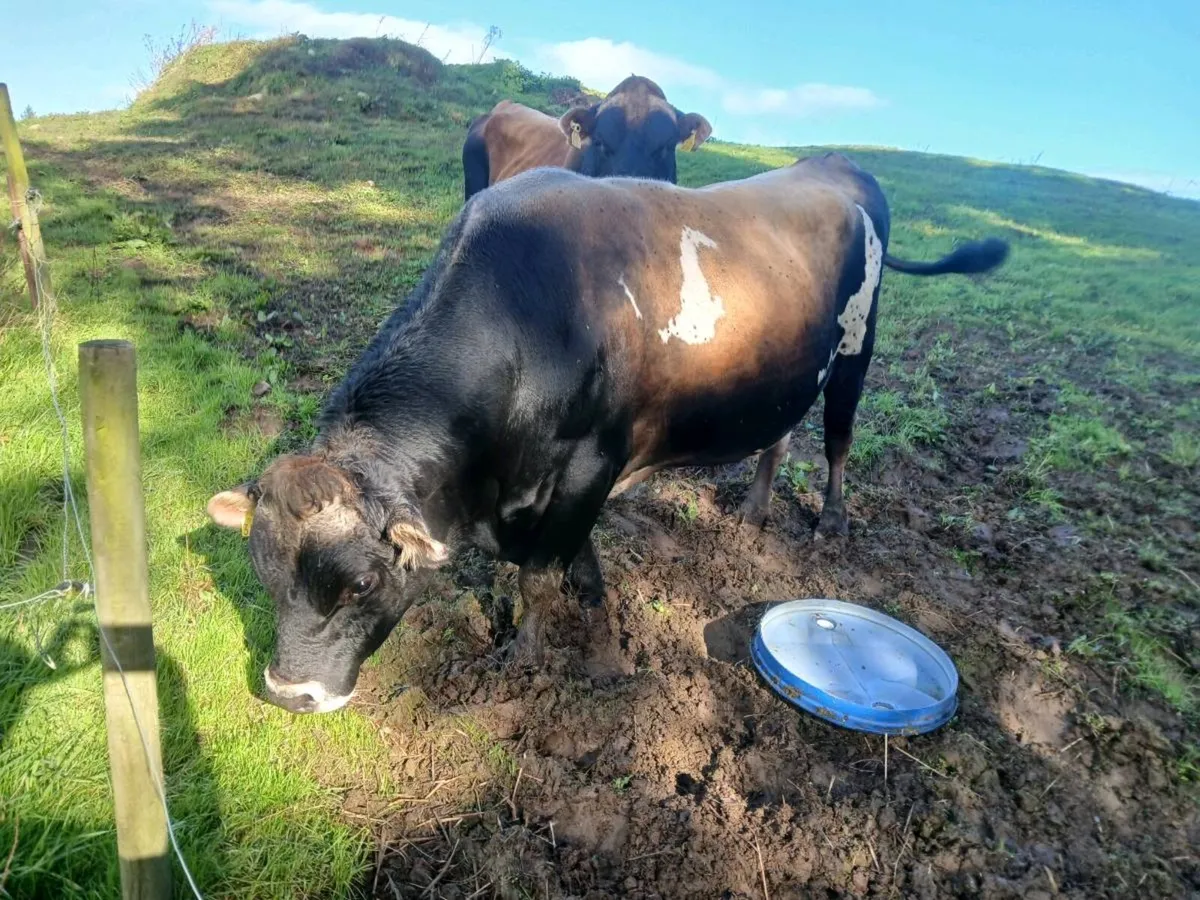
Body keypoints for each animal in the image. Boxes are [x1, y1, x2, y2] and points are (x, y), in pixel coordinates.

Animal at [206, 152, 1008, 714]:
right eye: (262, 573)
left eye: (363, 583)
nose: (289, 695)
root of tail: (835, 166)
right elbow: (570, 553)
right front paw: (591, 593)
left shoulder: (592, 460)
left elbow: (536, 575)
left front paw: (527, 652)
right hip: (789, 372)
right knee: (781, 434)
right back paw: (755, 508)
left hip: (855, 348)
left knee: (840, 434)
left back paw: (833, 520)